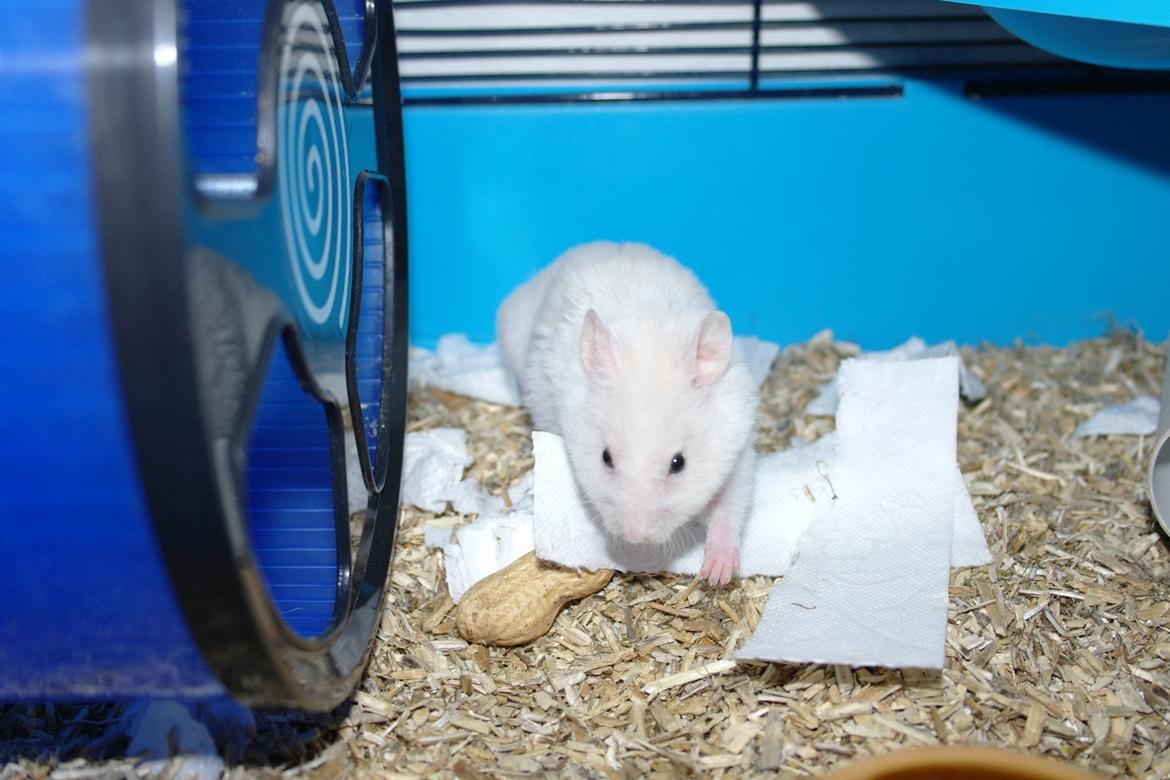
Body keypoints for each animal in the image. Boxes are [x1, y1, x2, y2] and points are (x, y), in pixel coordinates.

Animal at [497, 241, 759, 586]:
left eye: (679, 463)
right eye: (605, 457)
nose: (635, 537)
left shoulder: (738, 449)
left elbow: (729, 506)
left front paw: (717, 576)